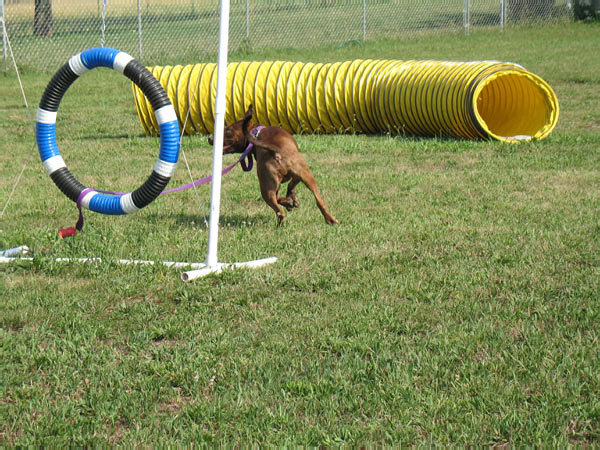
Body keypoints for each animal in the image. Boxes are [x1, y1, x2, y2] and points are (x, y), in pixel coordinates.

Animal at [210, 104, 338, 225]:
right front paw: (290, 201)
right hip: (305, 177)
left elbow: (288, 189)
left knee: (279, 210)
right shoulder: (297, 176)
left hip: (267, 188)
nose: (210, 139)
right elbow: (290, 187)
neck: (257, 132)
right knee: (318, 201)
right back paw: (330, 220)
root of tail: (275, 149)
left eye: (227, 131)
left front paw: (290, 202)